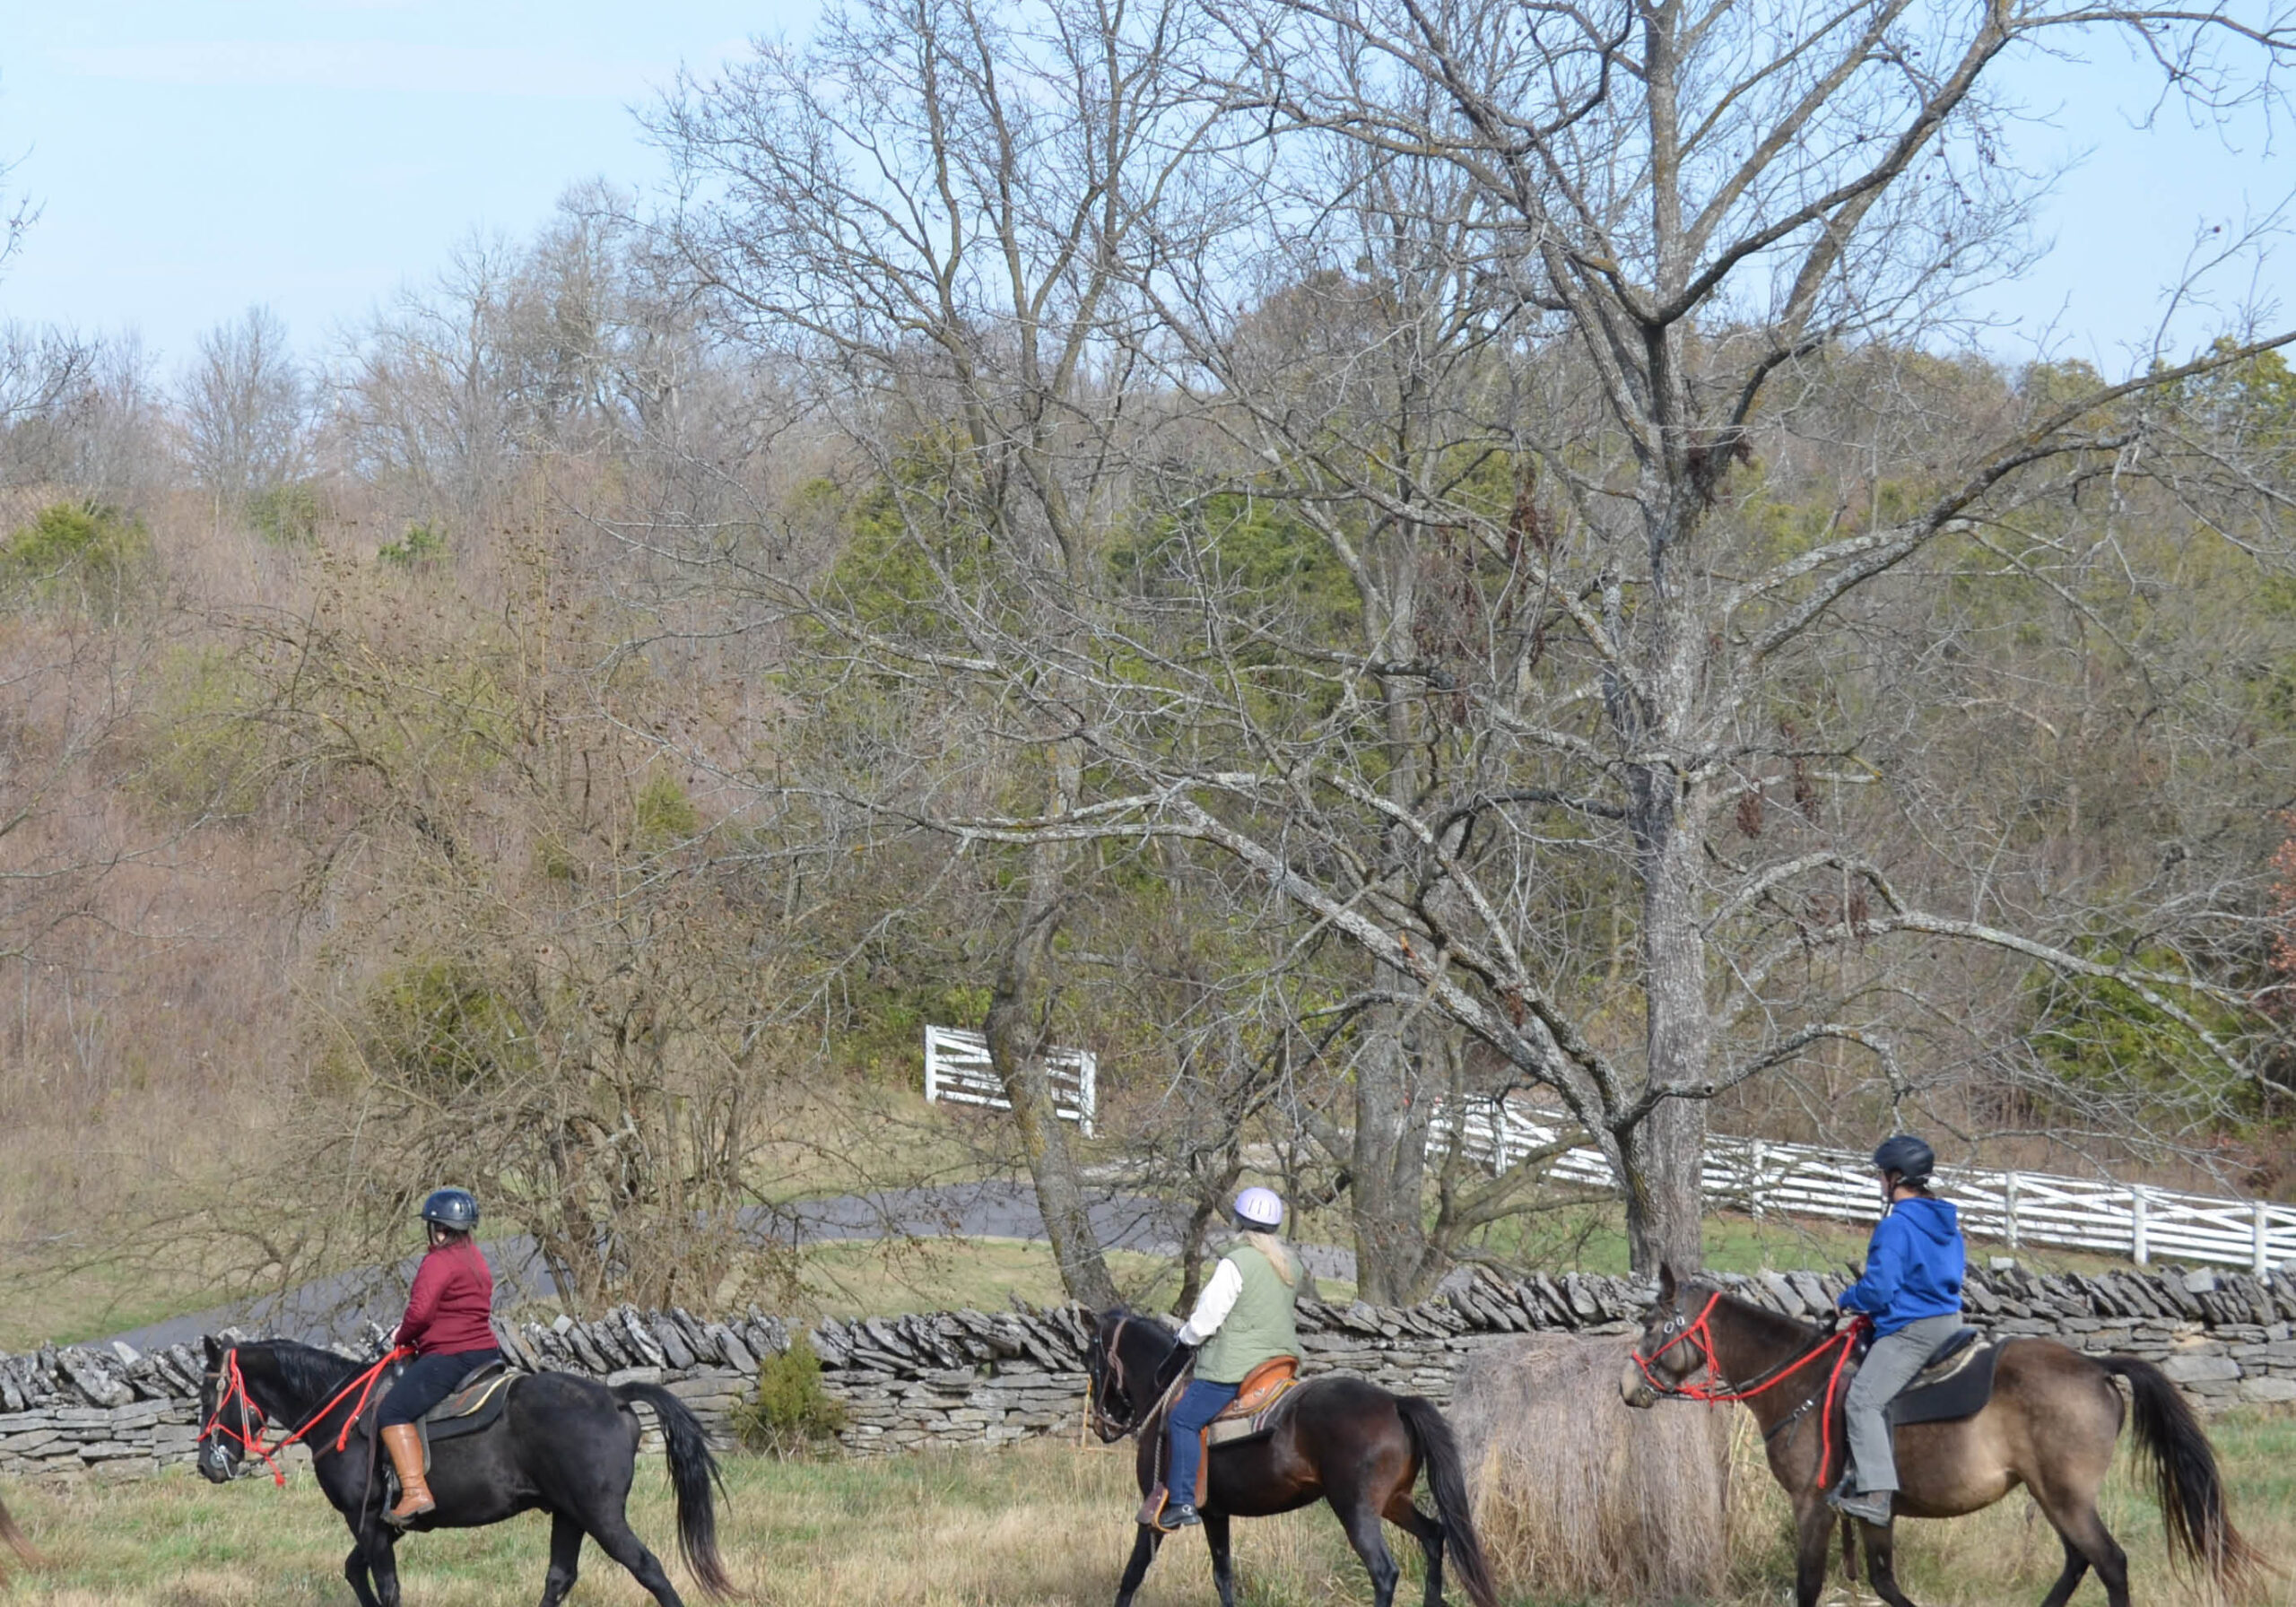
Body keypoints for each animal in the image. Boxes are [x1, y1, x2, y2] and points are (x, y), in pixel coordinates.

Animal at [202, 1331, 735, 1607]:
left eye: (210, 1392)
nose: (209, 1464)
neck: (342, 1413)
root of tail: (614, 1395)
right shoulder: (383, 1526)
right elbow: (354, 1573)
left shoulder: (368, 1521)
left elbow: (386, 1587)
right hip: (569, 1515)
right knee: (559, 1578)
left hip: (600, 1517)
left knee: (648, 1569)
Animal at [1083, 1304, 1497, 1607]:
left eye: (1090, 1358)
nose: (1102, 1425)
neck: (1165, 1393)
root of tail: (1395, 1402)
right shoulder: (1215, 1513)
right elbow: (1223, 1576)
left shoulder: (1154, 1514)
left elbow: (1133, 1573)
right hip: (1395, 1501)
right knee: (1434, 1537)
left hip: (1356, 1510)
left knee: (1383, 1572)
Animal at [1616, 1267, 2259, 1607]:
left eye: (1653, 1325)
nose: (1626, 1387)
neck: (1801, 1379)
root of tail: (2096, 1366)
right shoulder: (1873, 1510)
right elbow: (1882, 1578)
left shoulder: (1812, 1506)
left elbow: (1810, 1583)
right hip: (2054, 1496)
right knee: (2080, 1560)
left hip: (2066, 1497)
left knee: (2109, 1563)